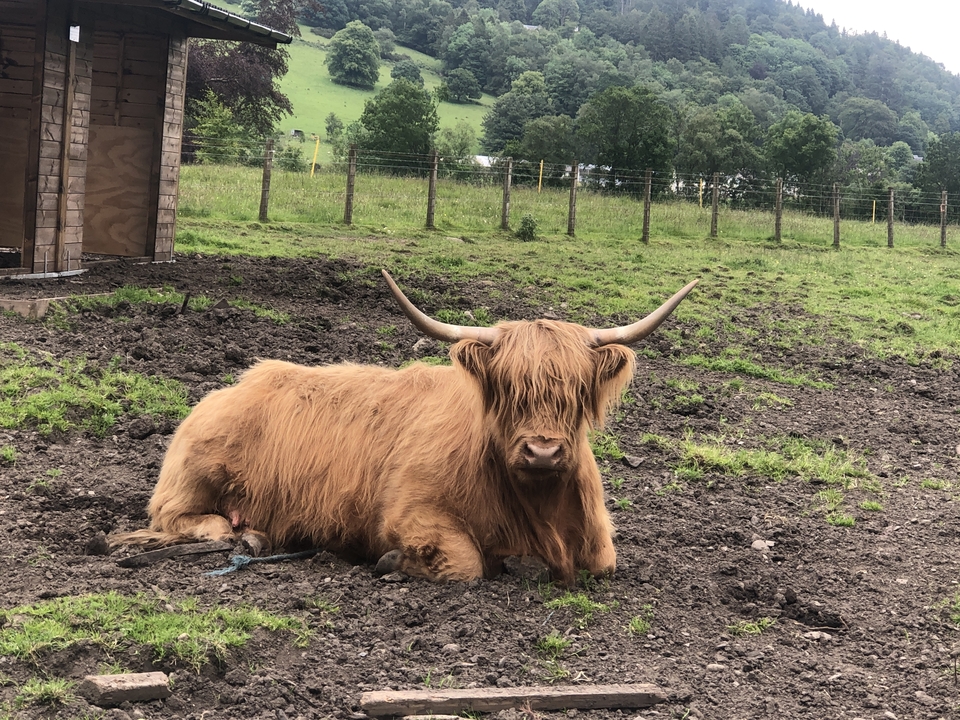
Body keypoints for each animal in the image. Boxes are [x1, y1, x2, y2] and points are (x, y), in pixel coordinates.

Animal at [110, 270, 698, 584]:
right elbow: (465, 562)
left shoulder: (597, 547)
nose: (543, 452)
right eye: (507, 388)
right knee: (177, 516)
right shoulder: (410, 512)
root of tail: (235, 384)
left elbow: (603, 563)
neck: (539, 509)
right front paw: (395, 561)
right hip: (195, 475)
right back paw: (240, 534)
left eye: (575, 391)